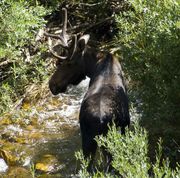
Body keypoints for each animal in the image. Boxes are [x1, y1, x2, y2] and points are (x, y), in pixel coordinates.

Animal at [45, 8, 130, 171]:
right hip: (99, 141)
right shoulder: (126, 124)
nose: (52, 84)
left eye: (68, 63)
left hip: (89, 140)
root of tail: (100, 120)